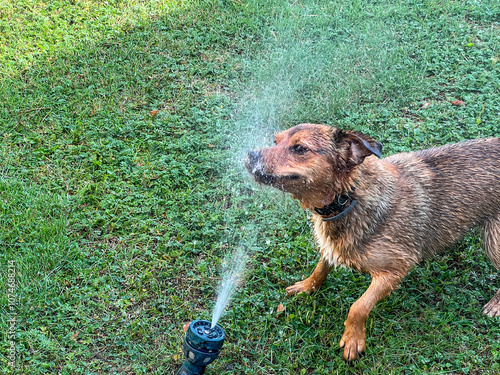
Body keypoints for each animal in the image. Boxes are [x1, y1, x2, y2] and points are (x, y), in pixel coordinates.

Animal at [245, 125, 500, 362]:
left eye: (299, 148)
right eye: (275, 141)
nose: (249, 154)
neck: (350, 196)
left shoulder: (395, 270)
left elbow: (358, 307)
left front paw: (353, 339)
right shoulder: (332, 247)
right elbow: (320, 268)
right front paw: (307, 286)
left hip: (494, 242)